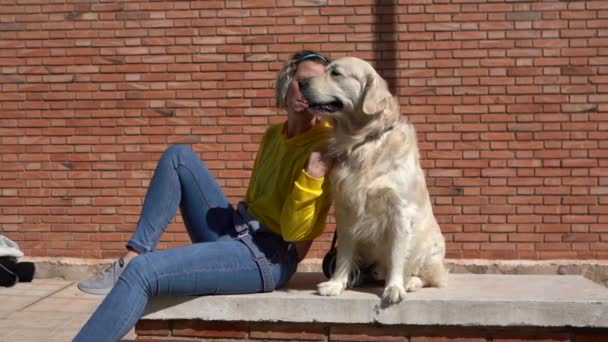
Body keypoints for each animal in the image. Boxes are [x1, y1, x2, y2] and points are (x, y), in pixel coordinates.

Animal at [300, 57, 446, 304]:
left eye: (336, 73)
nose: (301, 83)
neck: (364, 141)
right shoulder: (346, 209)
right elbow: (344, 254)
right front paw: (336, 284)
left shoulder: (399, 211)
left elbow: (397, 254)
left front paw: (394, 287)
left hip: (431, 251)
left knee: (430, 277)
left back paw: (410, 282)